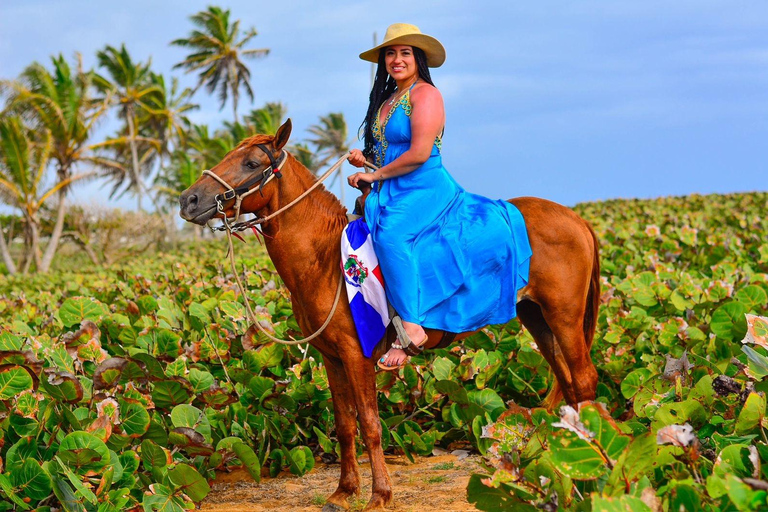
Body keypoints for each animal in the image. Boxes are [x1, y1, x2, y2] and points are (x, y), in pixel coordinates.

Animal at [180, 119, 600, 508]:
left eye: (251, 162)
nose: (189, 200)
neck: (325, 260)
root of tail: (576, 220)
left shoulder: (357, 354)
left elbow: (370, 424)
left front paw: (379, 494)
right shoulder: (331, 357)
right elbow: (344, 425)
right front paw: (344, 491)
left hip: (564, 318)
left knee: (583, 381)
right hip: (538, 319)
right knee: (566, 385)